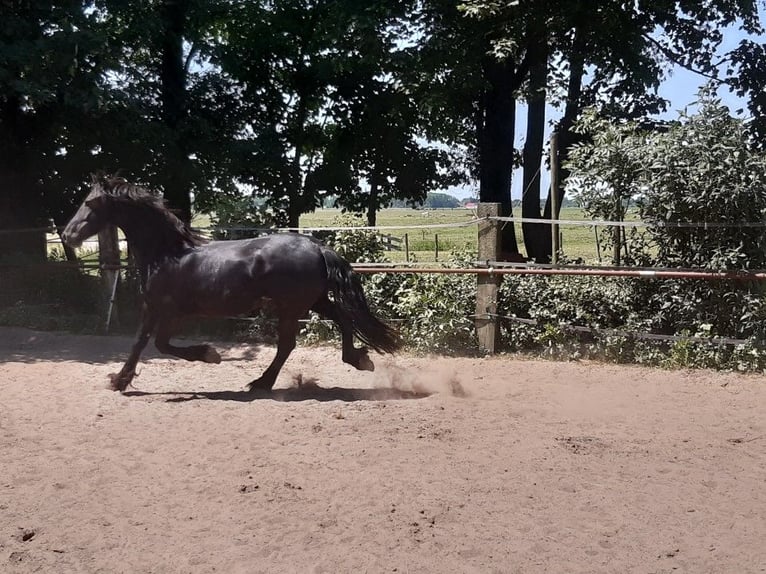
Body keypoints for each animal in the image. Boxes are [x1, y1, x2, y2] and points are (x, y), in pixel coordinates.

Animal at [61, 174, 402, 392]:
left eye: (90, 203)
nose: (67, 235)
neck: (167, 254)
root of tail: (317, 247)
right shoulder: (155, 308)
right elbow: (141, 343)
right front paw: (119, 381)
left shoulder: (167, 310)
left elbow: (157, 344)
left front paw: (210, 355)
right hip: (313, 301)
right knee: (342, 319)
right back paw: (359, 359)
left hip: (292, 306)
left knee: (287, 344)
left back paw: (261, 383)